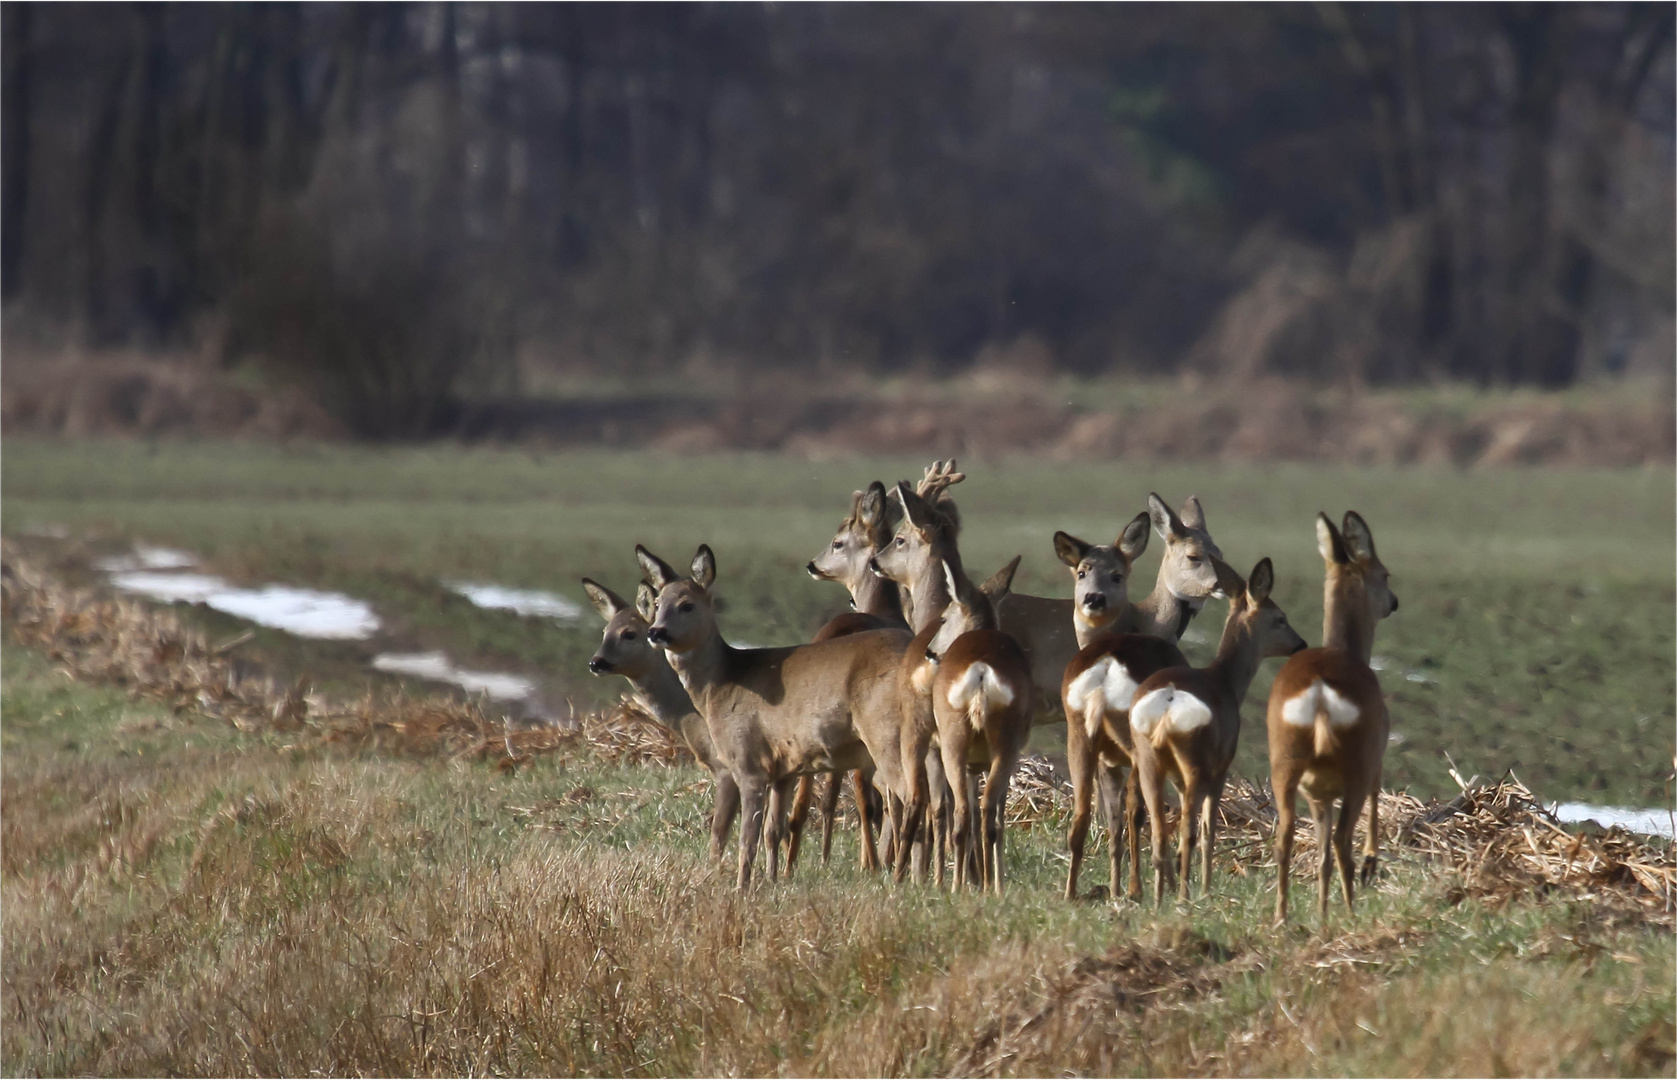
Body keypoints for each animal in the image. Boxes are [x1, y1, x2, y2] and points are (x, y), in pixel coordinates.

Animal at [925, 560, 1026, 892]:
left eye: (944, 617)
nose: (930, 651)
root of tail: (981, 669)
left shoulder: (971, 766)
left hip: (955, 748)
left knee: (965, 815)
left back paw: (962, 886)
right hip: (1002, 751)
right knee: (986, 813)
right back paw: (991, 888)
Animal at [1053, 496, 1227, 905]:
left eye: (1219, 553)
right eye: (1194, 555)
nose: (1094, 599)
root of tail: (1106, 668)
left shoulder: (1106, 759)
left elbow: (1110, 820)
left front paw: (1114, 887)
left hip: (1080, 738)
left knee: (1084, 815)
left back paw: (1074, 892)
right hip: (1138, 742)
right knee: (1139, 809)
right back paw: (1140, 888)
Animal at [1126, 556, 1308, 905]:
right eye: (1280, 618)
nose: (1301, 644)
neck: (1225, 681)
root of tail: (1167, 704)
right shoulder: (1222, 766)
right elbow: (1209, 830)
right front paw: (1206, 889)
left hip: (1149, 760)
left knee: (1157, 830)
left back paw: (1159, 898)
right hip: (1196, 763)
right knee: (1190, 830)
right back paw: (1185, 897)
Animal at [1261, 509, 1395, 925]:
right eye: (1384, 573)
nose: (1393, 601)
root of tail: (1320, 690)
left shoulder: (1317, 794)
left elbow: (1319, 856)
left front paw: (1320, 912)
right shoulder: (1375, 759)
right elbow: (1376, 797)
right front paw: (1371, 865)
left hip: (1285, 770)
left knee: (1286, 839)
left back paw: (1282, 918)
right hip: (1355, 768)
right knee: (1342, 840)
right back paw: (1352, 912)